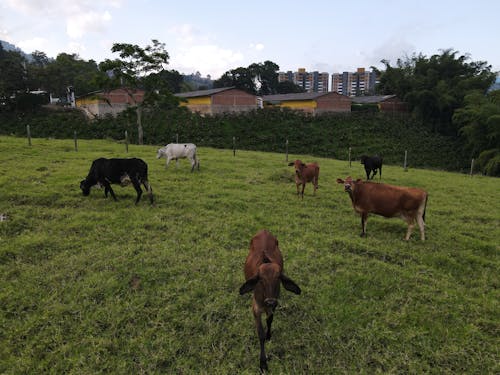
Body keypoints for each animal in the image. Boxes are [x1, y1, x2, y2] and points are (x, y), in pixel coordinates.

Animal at [238, 231, 300, 372]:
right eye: (261, 279)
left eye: (278, 278)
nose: (270, 301)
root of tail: (264, 231)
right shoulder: (256, 308)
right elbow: (260, 333)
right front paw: (263, 363)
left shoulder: (274, 305)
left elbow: (270, 320)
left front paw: (269, 335)